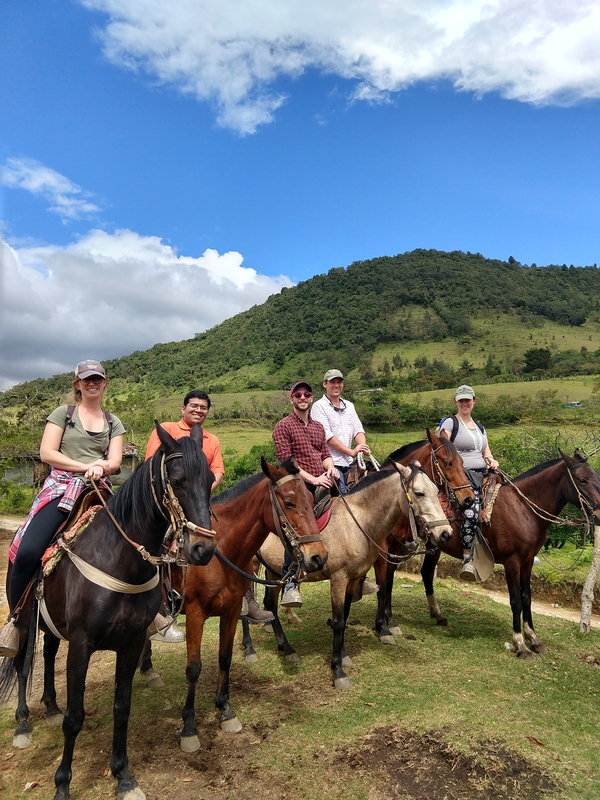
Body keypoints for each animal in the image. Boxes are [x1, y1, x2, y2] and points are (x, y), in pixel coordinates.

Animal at [0, 424, 216, 800]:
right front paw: (62, 784)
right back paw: (23, 723)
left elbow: (122, 708)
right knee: (22, 666)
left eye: (211, 480)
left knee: (49, 653)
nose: (203, 548)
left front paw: (123, 776)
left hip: (53, 624)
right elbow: (75, 717)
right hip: (25, 616)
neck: (118, 560)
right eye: (177, 480)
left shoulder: (130, 644)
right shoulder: (81, 644)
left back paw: (50, 706)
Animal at [156, 460, 328, 752]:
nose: (319, 556)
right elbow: (193, 668)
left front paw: (225, 710)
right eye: (289, 502)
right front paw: (189, 727)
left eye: (309, 498)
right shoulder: (195, 614)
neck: (220, 552)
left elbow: (225, 657)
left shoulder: (232, 609)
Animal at [246, 460, 452, 692]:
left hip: (272, 570)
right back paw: (250, 649)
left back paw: (286, 648)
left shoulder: (353, 579)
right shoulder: (339, 579)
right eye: (419, 493)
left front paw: (343, 655)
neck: (356, 524)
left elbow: (345, 616)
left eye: (436, 491)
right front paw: (337, 670)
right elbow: (338, 621)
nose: (446, 533)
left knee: (270, 604)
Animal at [368, 432, 476, 644]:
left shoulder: (396, 550)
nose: (469, 499)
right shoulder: (382, 552)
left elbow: (389, 583)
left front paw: (390, 620)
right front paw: (382, 627)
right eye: (447, 462)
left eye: (461, 461)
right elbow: (382, 586)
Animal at [420, 446, 600, 660]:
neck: (523, 509)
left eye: (597, 477)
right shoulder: (512, 562)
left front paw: (534, 639)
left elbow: (527, 598)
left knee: (427, 573)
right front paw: (520, 645)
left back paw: (438, 616)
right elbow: (515, 602)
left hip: (435, 547)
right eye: (582, 480)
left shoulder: (527, 562)